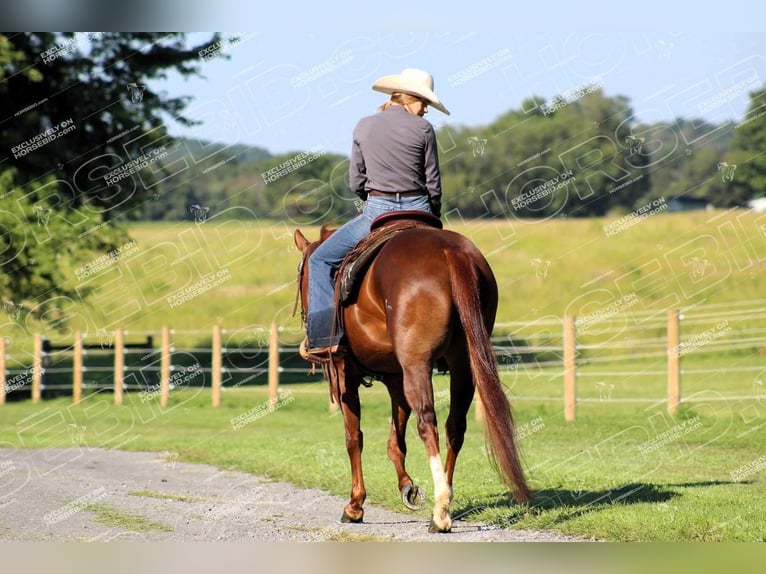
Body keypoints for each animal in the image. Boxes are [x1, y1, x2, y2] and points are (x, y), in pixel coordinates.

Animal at [292, 220, 532, 536]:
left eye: (302, 274)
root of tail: (451, 252)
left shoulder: (345, 374)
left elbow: (354, 438)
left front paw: (355, 505)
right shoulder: (396, 378)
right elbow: (396, 441)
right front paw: (408, 487)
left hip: (417, 366)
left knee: (427, 423)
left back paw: (441, 512)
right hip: (462, 365)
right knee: (455, 427)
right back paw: (443, 503)